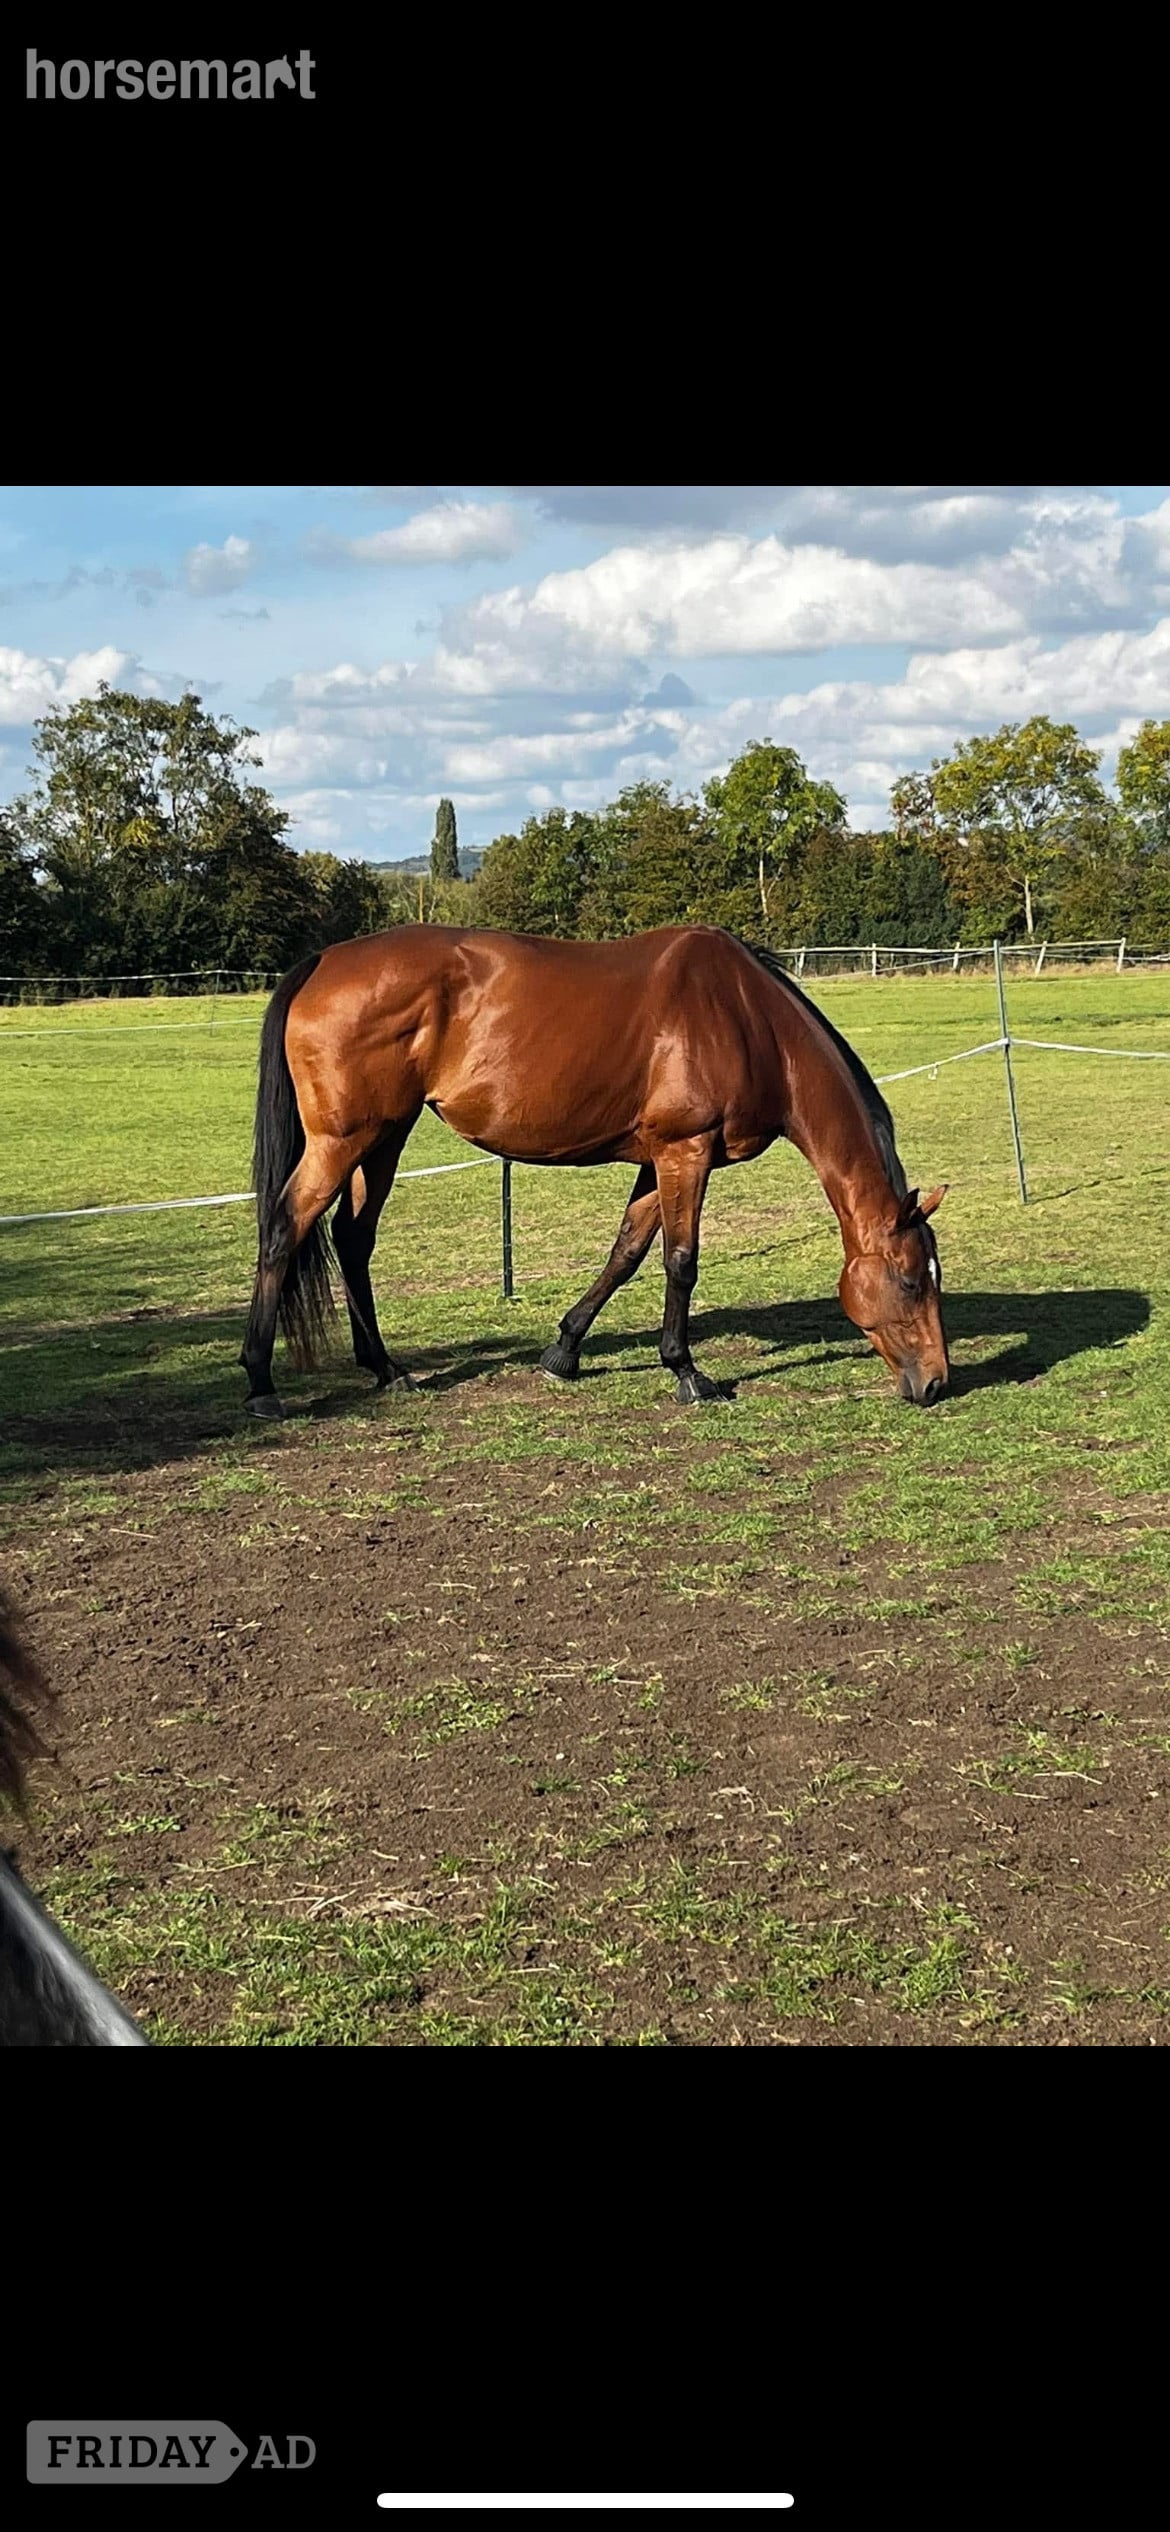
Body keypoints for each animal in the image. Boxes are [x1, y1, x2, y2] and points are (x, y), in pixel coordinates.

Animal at [241, 924, 948, 1418]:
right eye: (912, 1281)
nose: (937, 1382)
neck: (749, 1020)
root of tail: (322, 962)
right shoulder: (685, 1153)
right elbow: (680, 1262)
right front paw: (687, 1372)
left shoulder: (658, 1159)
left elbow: (626, 1252)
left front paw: (564, 1350)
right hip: (343, 1142)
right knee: (283, 1228)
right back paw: (260, 1383)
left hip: (384, 1138)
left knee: (352, 1239)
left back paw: (387, 1370)